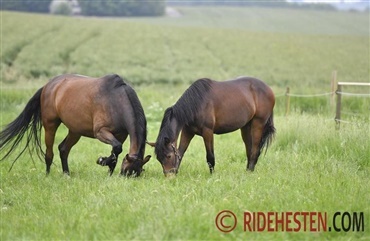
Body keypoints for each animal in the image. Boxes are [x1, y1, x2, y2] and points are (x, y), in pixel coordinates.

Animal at [0, 72, 150, 176]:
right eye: (126, 171)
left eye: (137, 173)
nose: (123, 178)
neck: (116, 100)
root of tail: (48, 85)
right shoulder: (100, 132)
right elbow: (117, 148)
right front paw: (101, 160)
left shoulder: (121, 135)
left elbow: (116, 151)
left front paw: (109, 169)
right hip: (50, 125)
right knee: (49, 152)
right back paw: (48, 175)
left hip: (75, 131)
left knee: (63, 149)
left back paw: (66, 174)